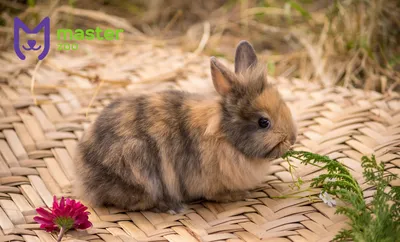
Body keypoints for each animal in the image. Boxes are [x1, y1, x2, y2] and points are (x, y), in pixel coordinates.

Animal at [74, 40, 296, 213]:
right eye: (263, 122)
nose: (292, 139)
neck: (226, 137)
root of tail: (84, 179)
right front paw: (240, 195)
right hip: (135, 165)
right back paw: (171, 206)